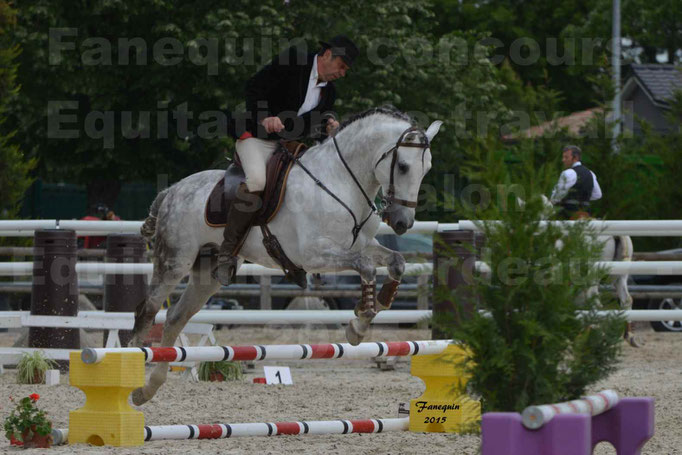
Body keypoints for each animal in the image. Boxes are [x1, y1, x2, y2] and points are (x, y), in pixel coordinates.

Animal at [127, 108, 440, 406]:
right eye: (403, 166)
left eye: (427, 169)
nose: (402, 222)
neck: (340, 184)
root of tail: (172, 190)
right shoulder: (314, 254)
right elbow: (366, 268)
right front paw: (359, 323)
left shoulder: (363, 245)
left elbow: (396, 261)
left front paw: (376, 306)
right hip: (174, 262)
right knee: (147, 312)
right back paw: (129, 374)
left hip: (207, 274)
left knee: (175, 317)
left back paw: (148, 389)